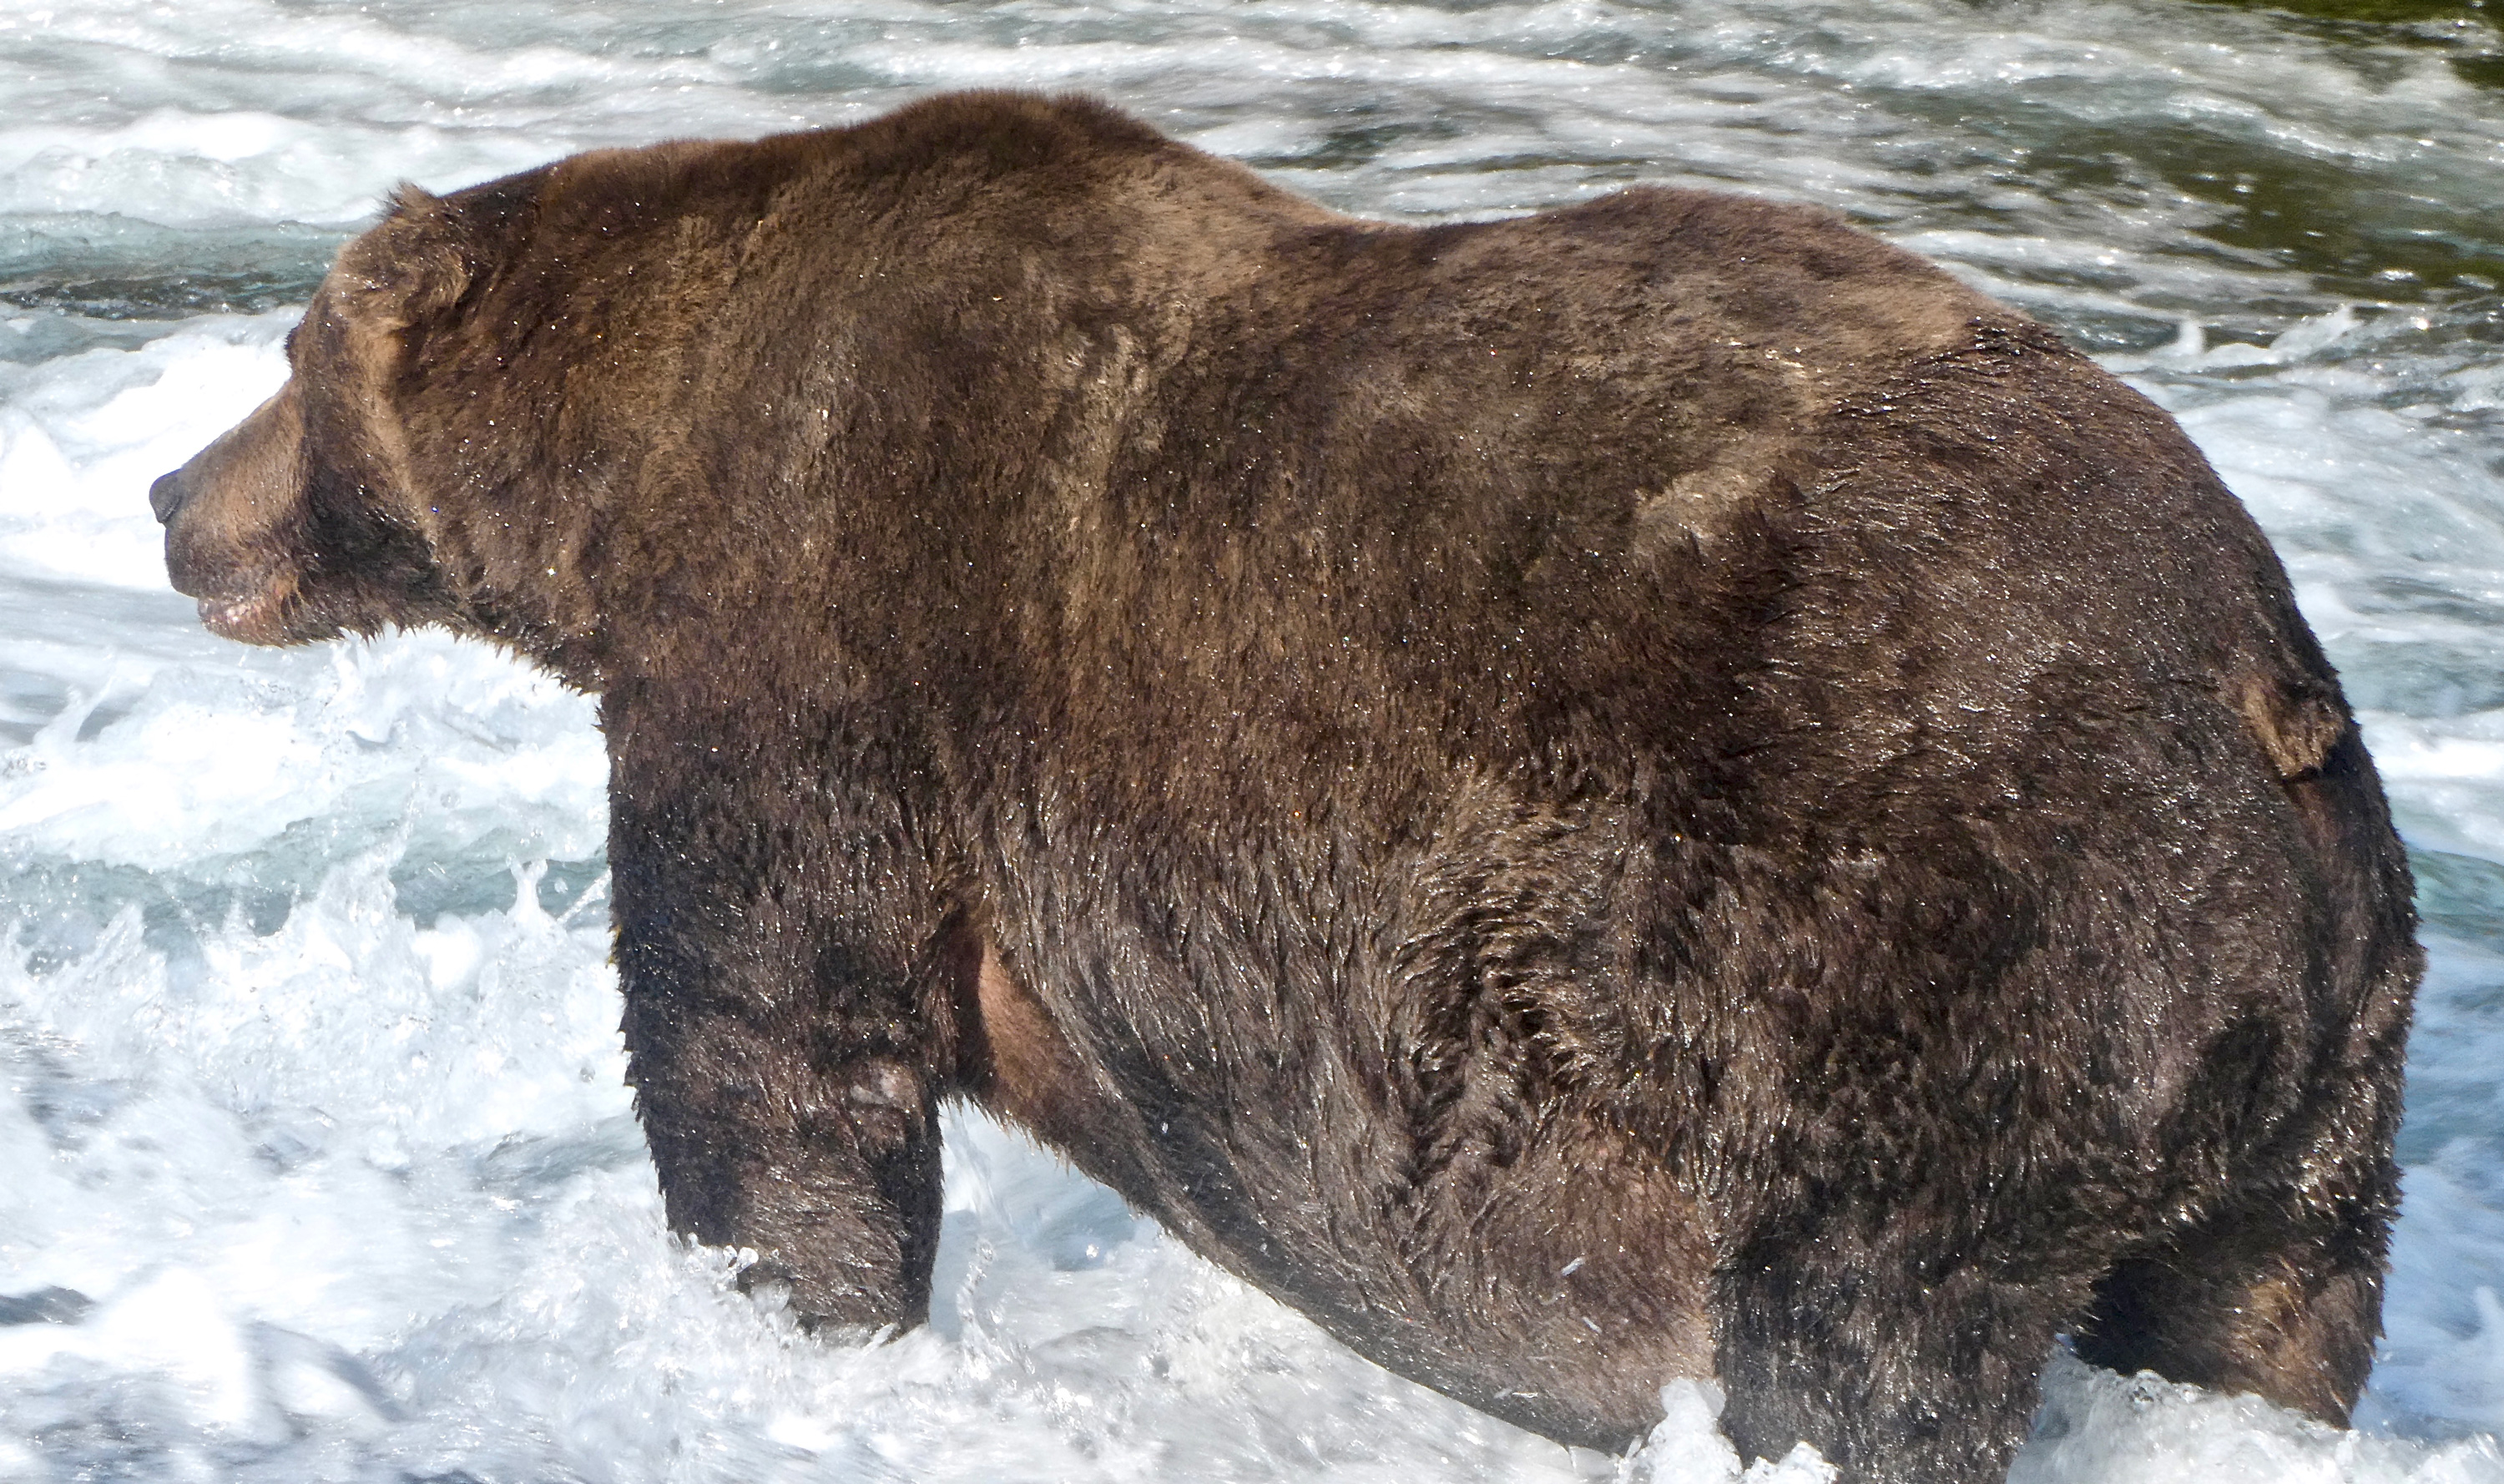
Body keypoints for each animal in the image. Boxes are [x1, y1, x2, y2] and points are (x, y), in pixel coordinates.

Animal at [150, 91, 2419, 1484]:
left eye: (286, 356)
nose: (172, 498)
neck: (626, 475)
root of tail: (2267, 695)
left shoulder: (819, 633)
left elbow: (771, 1044)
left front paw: (780, 1318)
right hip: (2302, 1084)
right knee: (2258, 1314)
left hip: (1915, 939)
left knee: (1860, 1342)